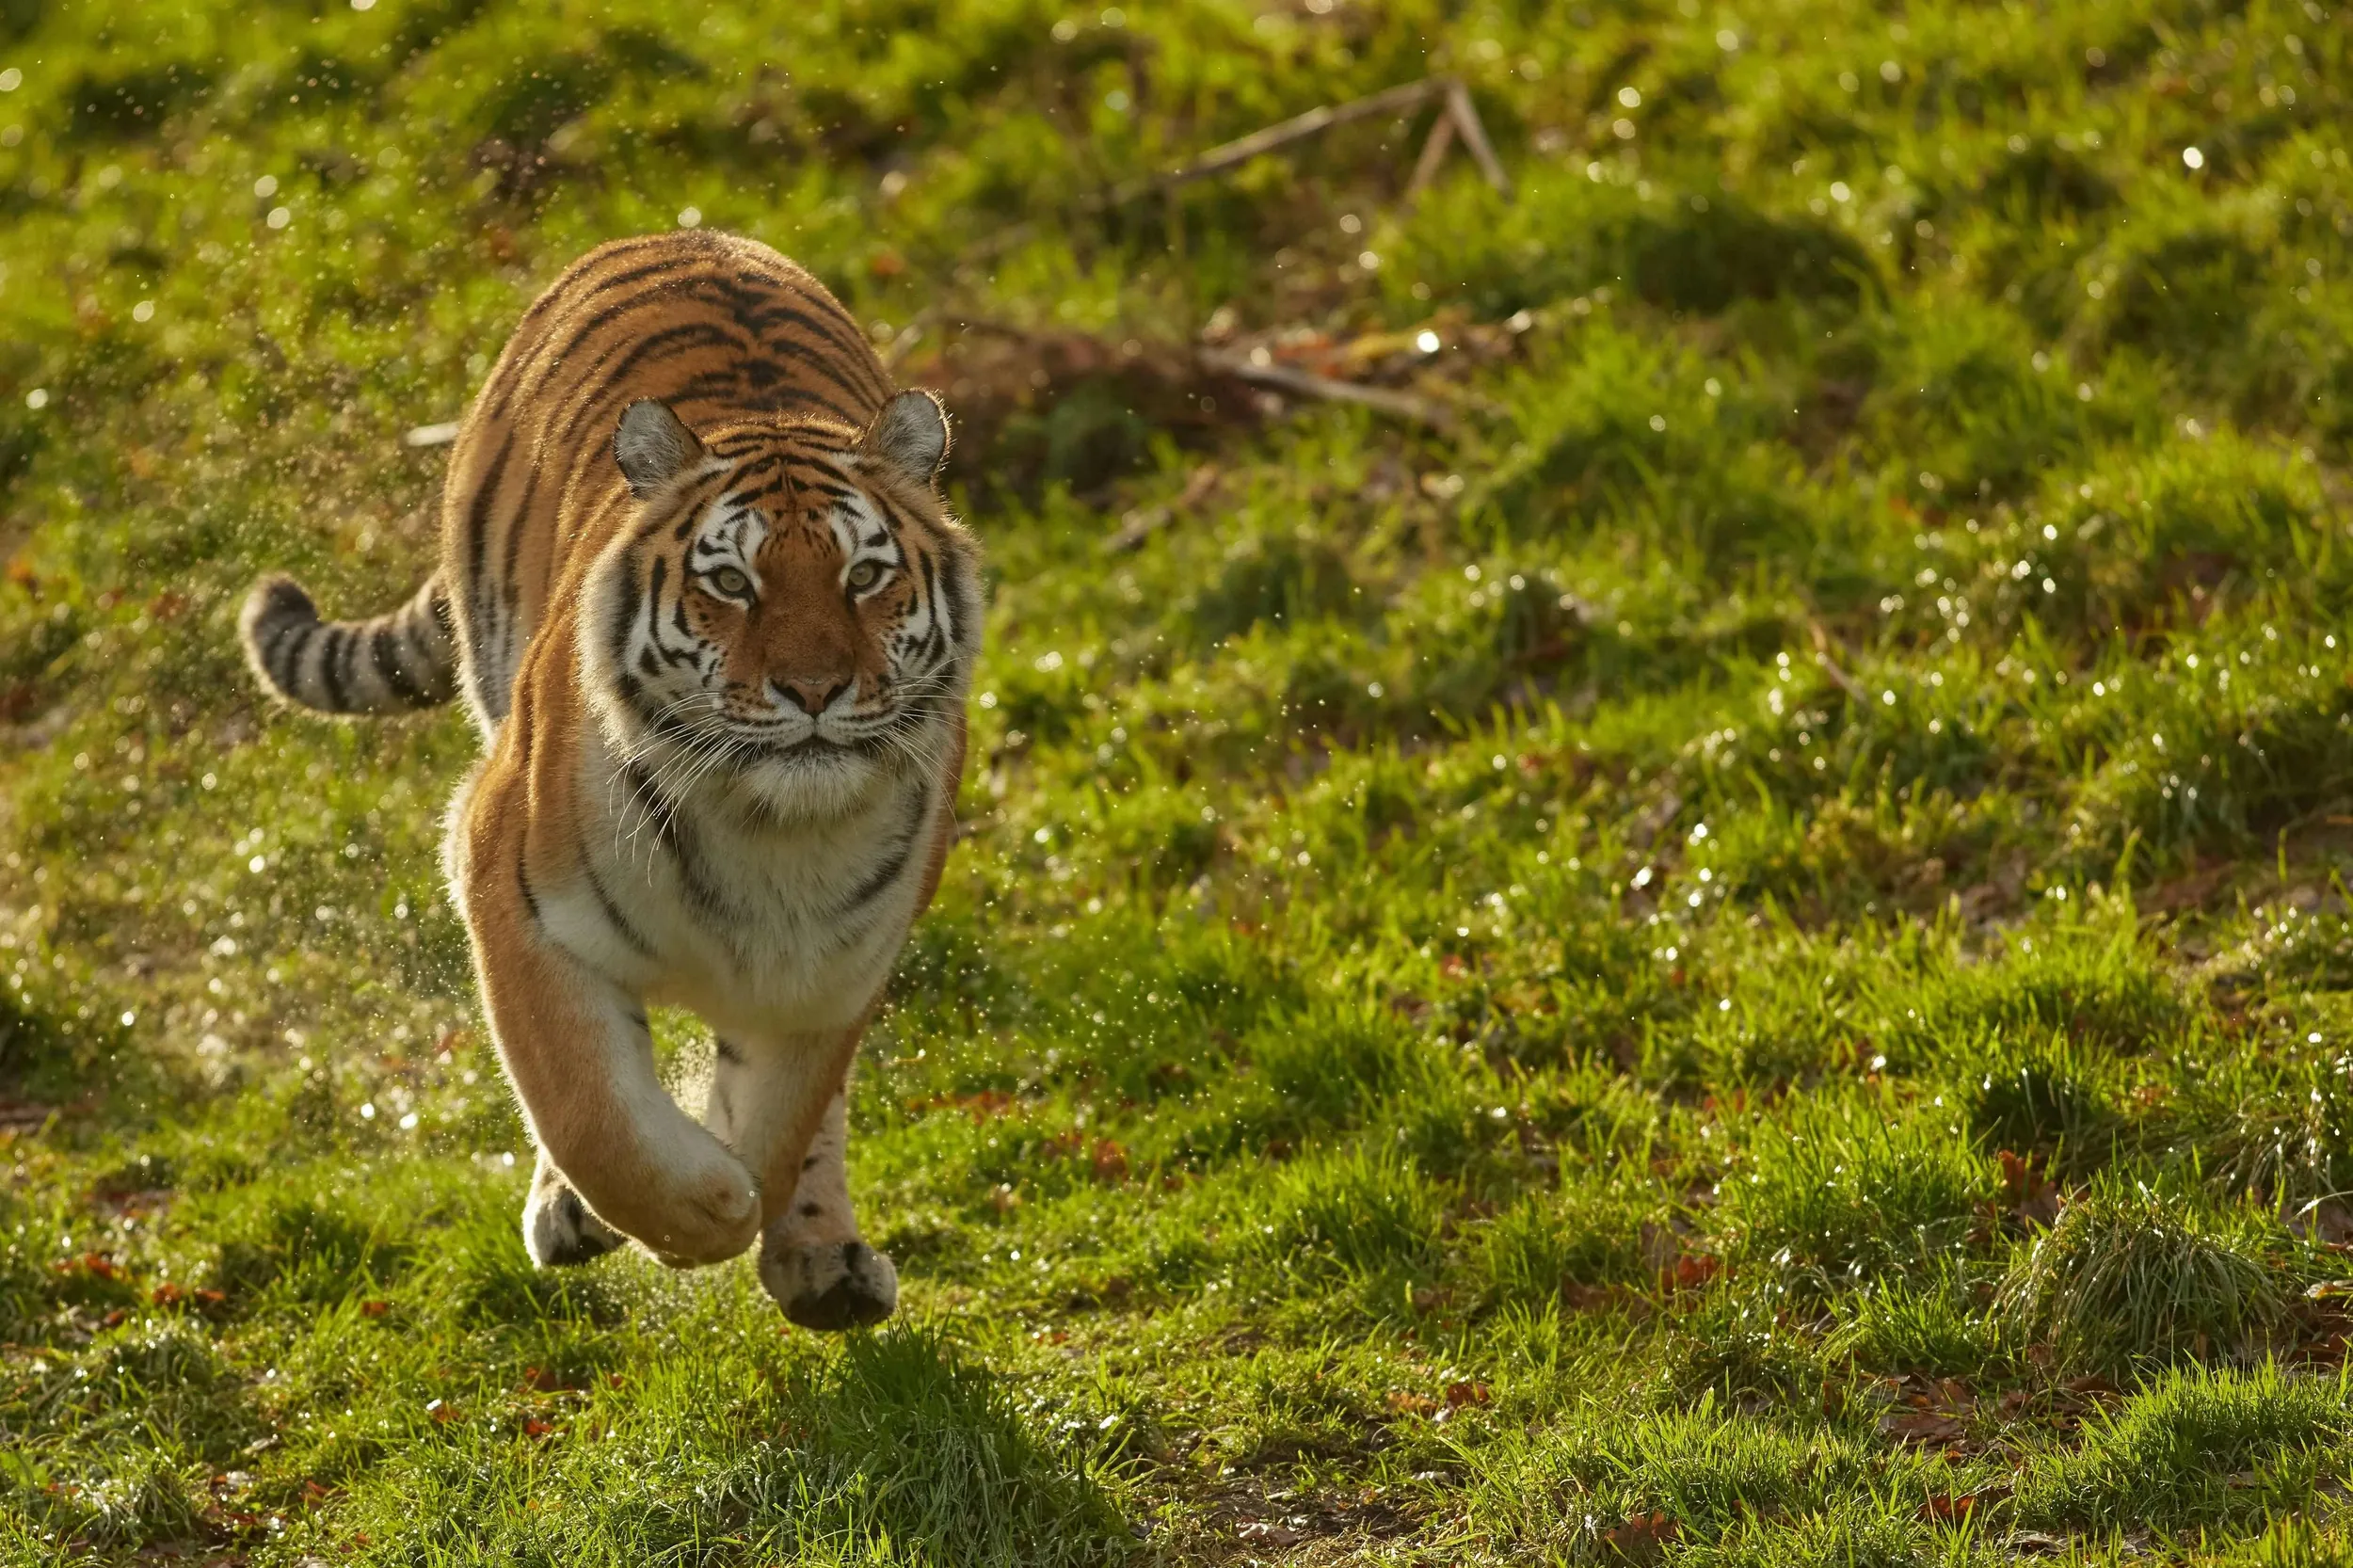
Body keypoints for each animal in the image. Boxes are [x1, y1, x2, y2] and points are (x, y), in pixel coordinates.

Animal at [238, 230, 981, 1330]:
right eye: (732, 583)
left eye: (864, 577)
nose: (814, 688)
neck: (772, 832)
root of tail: (684, 232)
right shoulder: (507, 888)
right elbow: (593, 1113)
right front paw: (698, 1207)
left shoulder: (832, 974)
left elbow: (785, 1117)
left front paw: (749, 1200)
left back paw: (825, 1263)